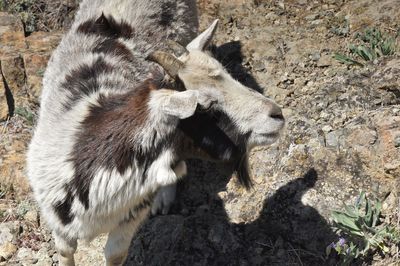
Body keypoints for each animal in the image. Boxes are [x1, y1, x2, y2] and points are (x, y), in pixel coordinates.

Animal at [27, 1, 284, 264]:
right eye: (206, 105)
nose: (276, 115)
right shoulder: (57, 219)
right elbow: (65, 251)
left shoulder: (132, 213)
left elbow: (115, 253)